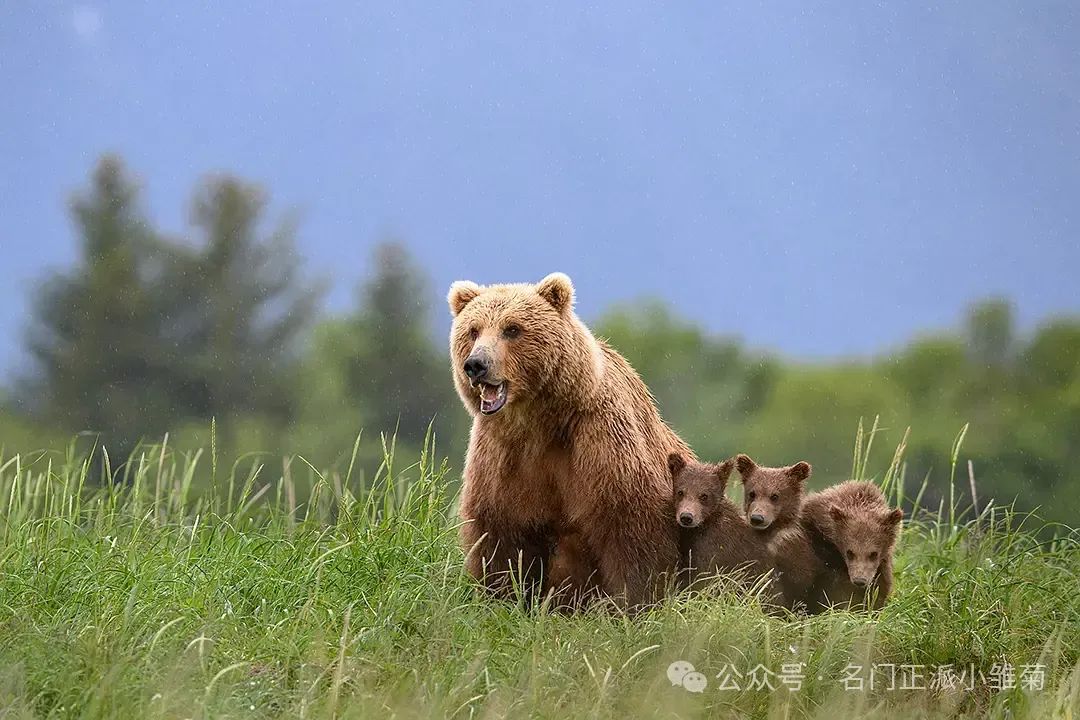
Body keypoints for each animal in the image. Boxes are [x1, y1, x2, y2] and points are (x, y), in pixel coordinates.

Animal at [447, 273, 691, 613]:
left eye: (512, 328)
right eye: (473, 330)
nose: (476, 364)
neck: (539, 424)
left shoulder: (599, 446)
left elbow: (630, 529)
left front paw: (633, 603)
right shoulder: (501, 458)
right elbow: (500, 535)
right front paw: (503, 598)